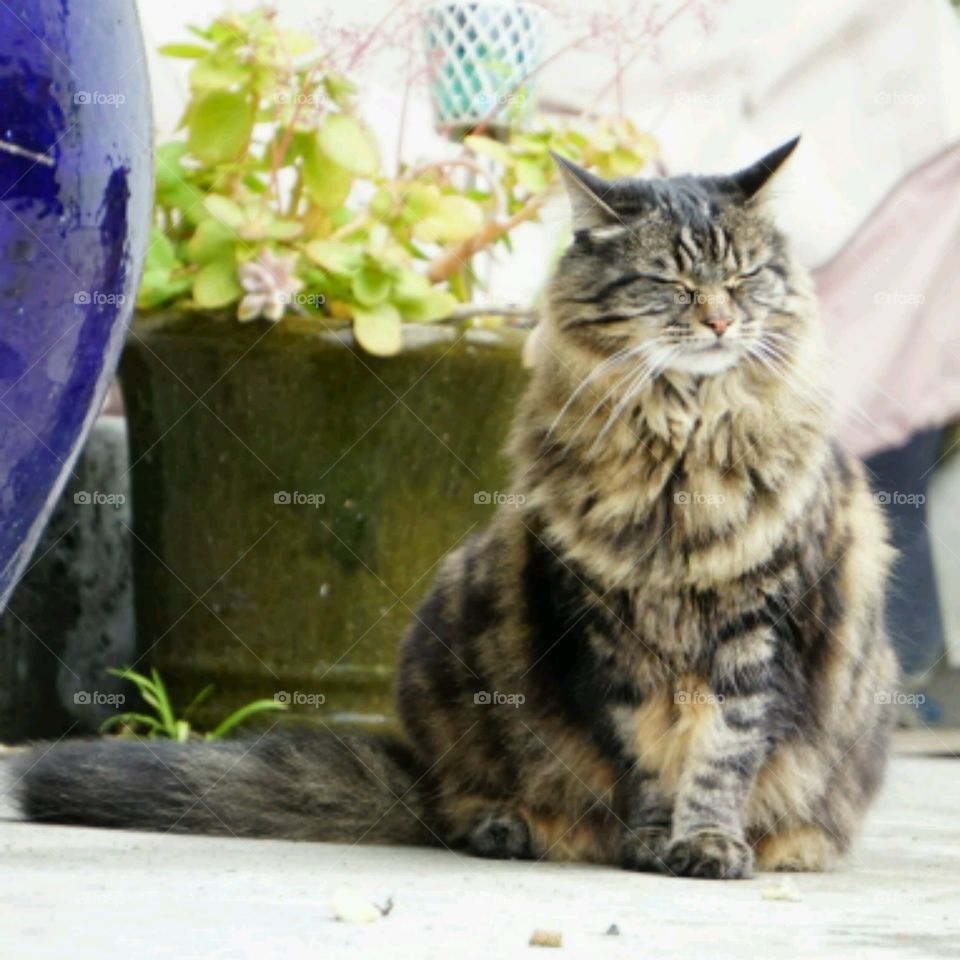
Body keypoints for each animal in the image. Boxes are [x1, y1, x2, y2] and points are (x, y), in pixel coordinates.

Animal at [3, 139, 896, 880]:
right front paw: (651, 841)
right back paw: (510, 827)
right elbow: (646, 758)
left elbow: (721, 755)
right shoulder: (606, 634)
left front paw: (707, 844)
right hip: (461, 607)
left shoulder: (760, 629)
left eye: (743, 278)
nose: (719, 319)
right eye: (670, 283)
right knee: (463, 805)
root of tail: (418, 776)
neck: (683, 445)